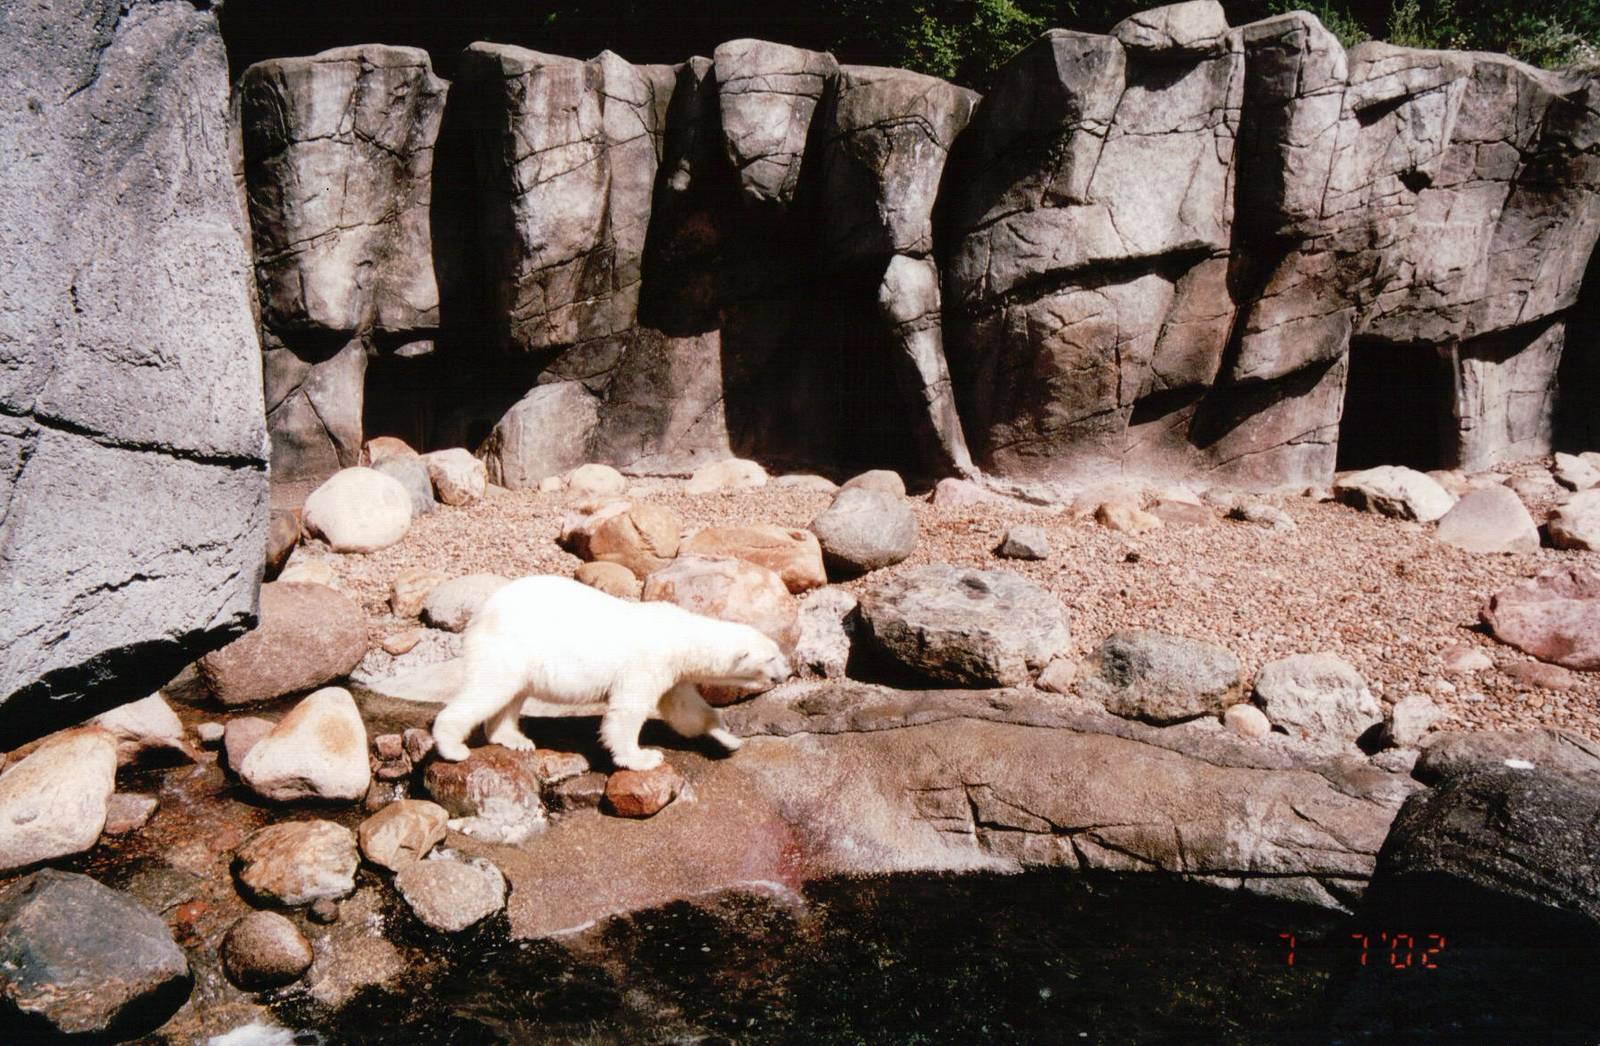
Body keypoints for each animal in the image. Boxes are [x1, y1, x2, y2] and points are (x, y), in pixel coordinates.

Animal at [431, 575, 791, 769]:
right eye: (773, 657)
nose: (787, 673)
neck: (680, 635)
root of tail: (481, 611)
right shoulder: (648, 663)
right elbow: (627, 712)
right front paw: (642, 758)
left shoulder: (672, 675)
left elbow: (686, 710)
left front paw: (729, 738)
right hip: (507, 646)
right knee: (488, 689)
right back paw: (453, 747)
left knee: (512, 695)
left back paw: (514, 739)